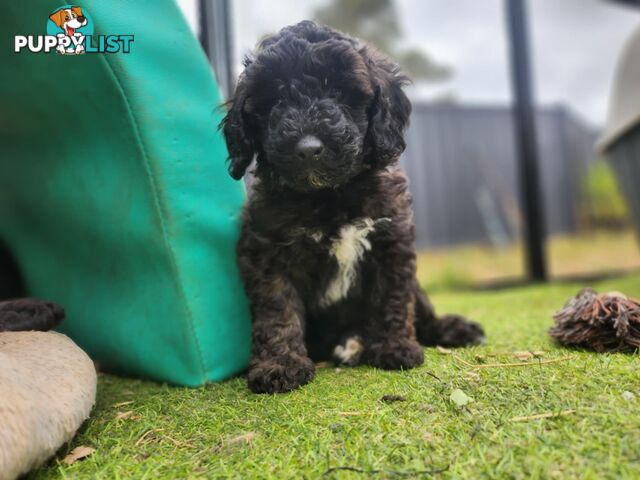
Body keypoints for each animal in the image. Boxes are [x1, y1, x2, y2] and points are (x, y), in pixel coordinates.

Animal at [221, 21, 484, 394]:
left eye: (338, 92)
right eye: (276, 100)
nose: (308, 148)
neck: (330, 195)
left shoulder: (390, 240)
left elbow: (393, 297)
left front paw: (394, 347)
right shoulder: (268, 251)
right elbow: (277, 308)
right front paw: (280, 364)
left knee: (420, 304)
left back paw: (451, 329)